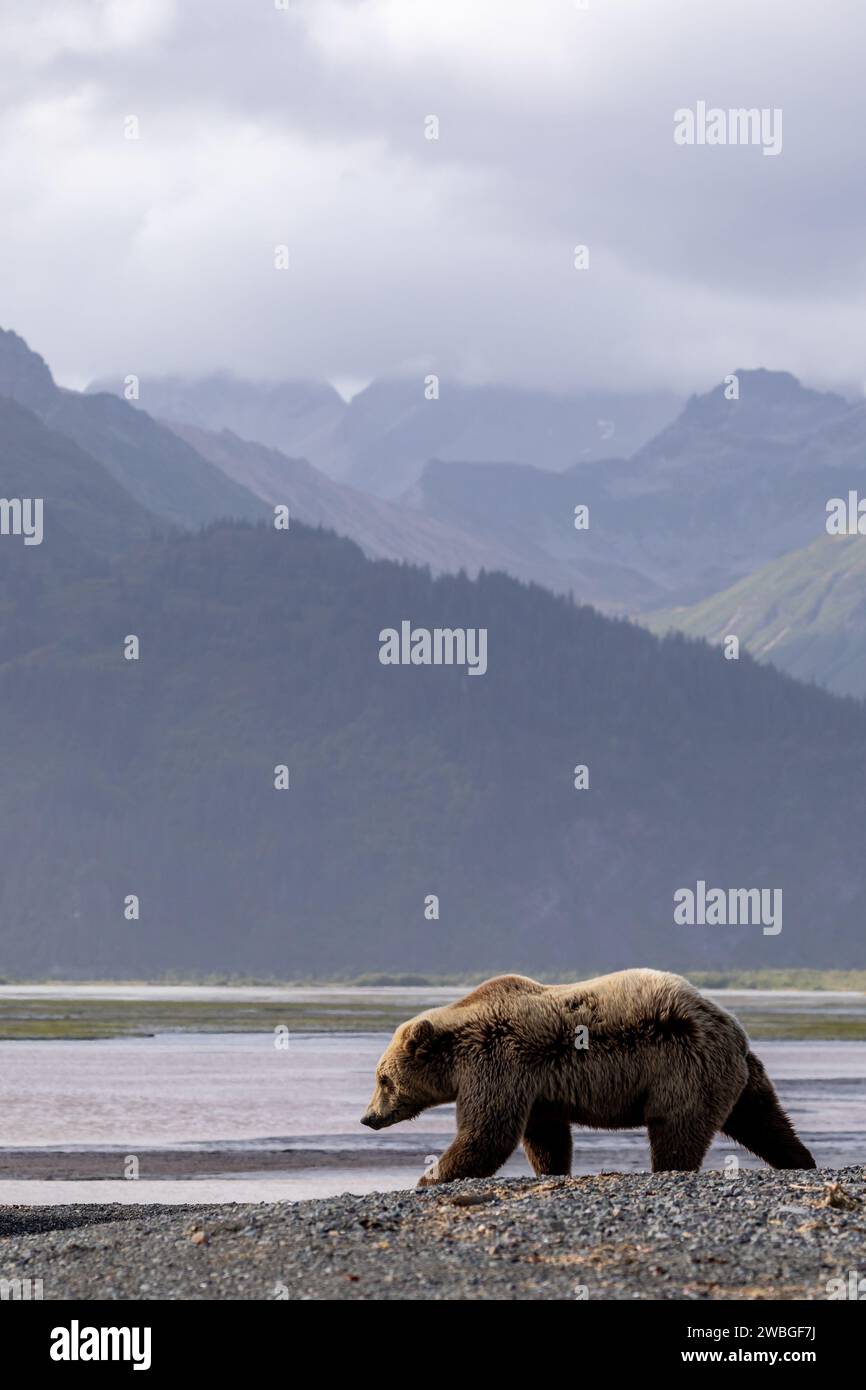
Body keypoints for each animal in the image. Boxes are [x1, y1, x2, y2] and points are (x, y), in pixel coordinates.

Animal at [360, 969, 816, 1181]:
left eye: (382, 1079)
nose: (368, 1117)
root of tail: (734, 1029)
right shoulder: (534, 1086)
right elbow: (545, 1136)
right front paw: (551, 1169)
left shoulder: (496, 1061)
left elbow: (487, 1130)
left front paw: (430, 1177)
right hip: (737, 1075)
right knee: (763, 1118)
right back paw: (800, 1159)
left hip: (683, 1064)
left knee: (676, 1127)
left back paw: (668, 1166)